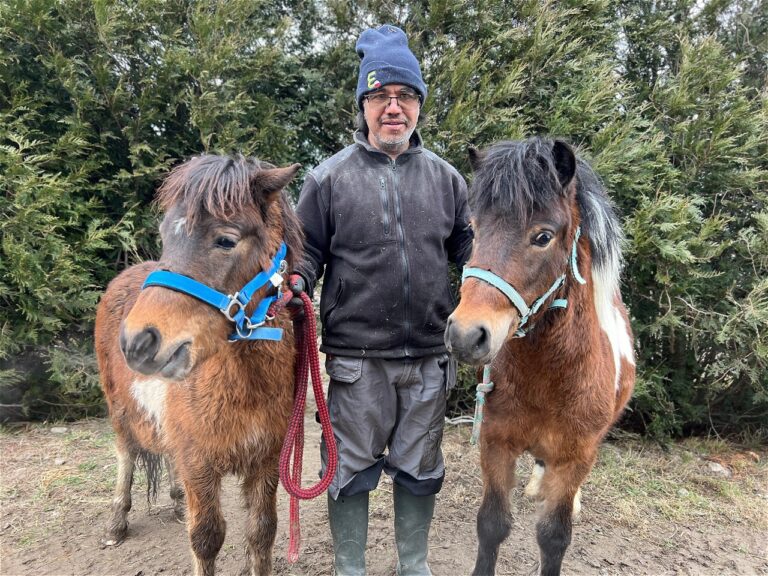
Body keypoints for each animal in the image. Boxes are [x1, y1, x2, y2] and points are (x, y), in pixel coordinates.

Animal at [95, 154, 303, 576]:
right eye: (165, 235)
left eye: (225, 240)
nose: (137, 342)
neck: (245, 387)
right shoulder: (199, 464)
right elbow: (206, 538)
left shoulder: (265, 461)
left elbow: (262, 532)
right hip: (119, 412)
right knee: (126, 456)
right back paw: (116, 523)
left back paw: (176, 503)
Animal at [444, 138, 635, 576]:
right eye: (473, 230)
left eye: (543, 237)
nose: (465, 335)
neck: (549, 376)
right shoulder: (496, 443)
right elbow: (492, 525)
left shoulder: (575, 457)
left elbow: (554, 537)